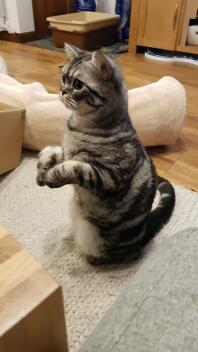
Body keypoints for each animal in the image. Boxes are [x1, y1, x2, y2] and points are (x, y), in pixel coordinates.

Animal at [36, 44, 176, 264]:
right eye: (63, 78)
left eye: (77, 84)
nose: (61, 90)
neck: (77, 125)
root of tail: (145, 229)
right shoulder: (68, 152)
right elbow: (52, 152)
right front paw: (42, 168)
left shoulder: (108, 176)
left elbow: (73, 168)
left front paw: (51, 176)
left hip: (95, 235)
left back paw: (92, 258)